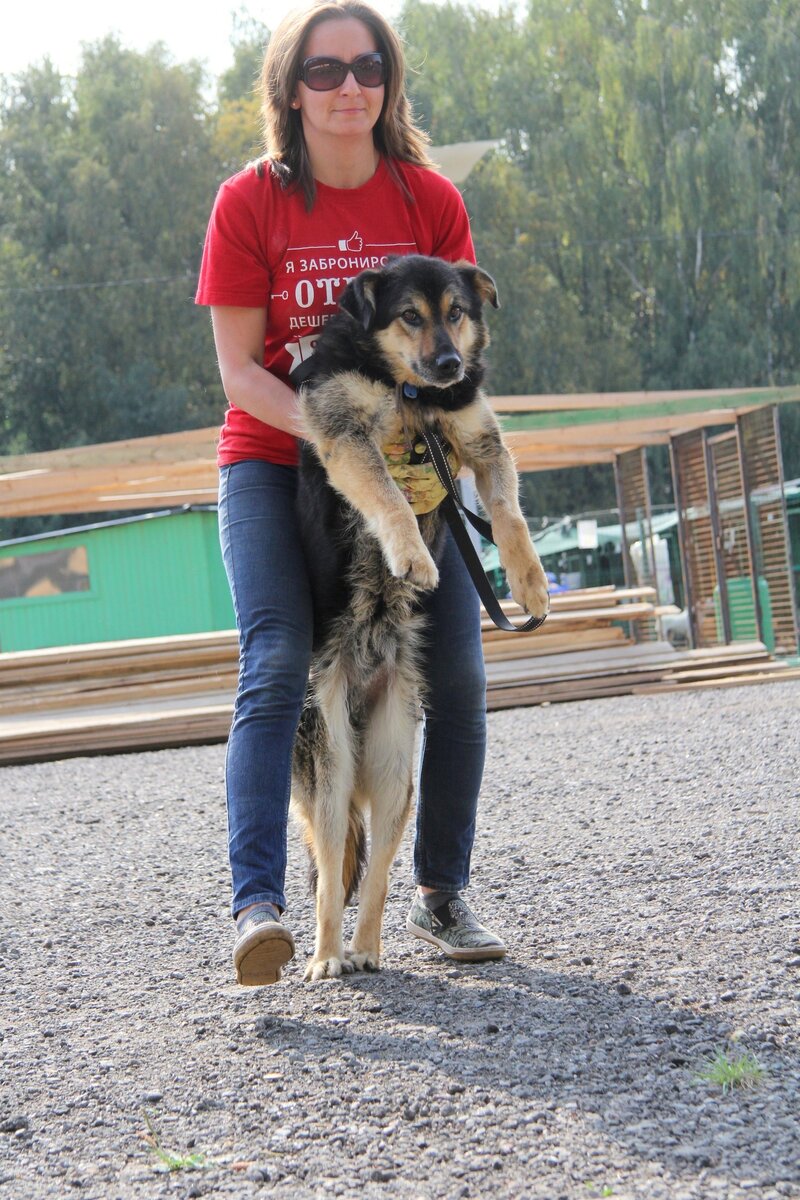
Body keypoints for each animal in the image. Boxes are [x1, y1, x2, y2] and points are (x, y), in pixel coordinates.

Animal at [292, 250, 551, 974]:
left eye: (457, 312)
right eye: (409, 315)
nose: (449, 365)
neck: (412, 395)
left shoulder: (478, 439)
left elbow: (510, 515)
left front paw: (531, 584)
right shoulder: (349, 436)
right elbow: (388, 494)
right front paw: (411, 557)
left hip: (394, 779)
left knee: (379, 875)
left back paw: (368, 947)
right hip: (329, 778)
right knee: (330, 875)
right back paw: (327, 957)